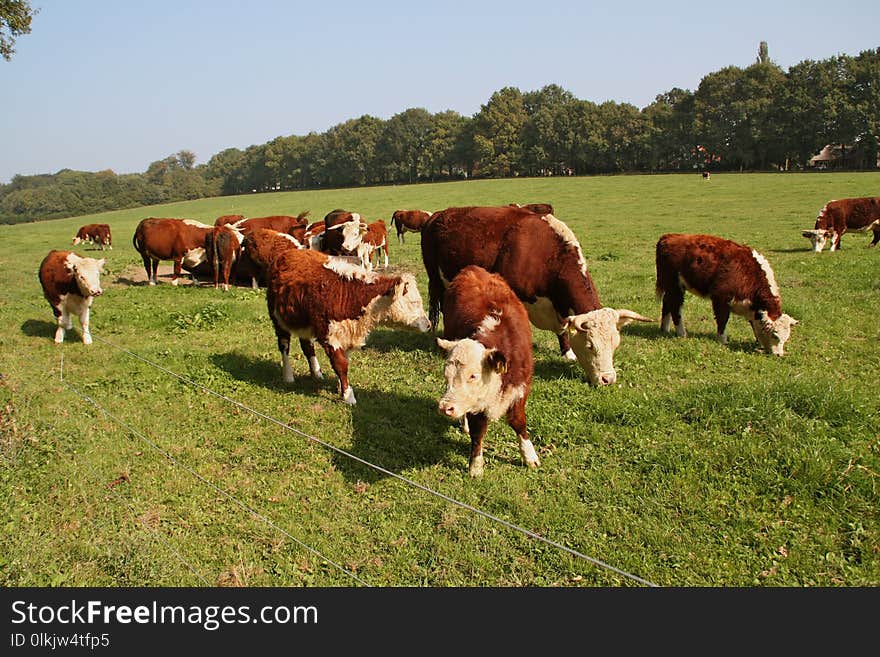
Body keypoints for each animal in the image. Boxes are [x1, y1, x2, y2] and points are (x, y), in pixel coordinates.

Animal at [268, 249, 434, 404]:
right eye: (413, 302)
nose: (429, 324)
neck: (351, 294)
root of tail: (289, 252)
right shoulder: (330, 335)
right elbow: (341, 364)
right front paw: (348, 396)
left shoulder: (346, 334)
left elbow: (344, 361)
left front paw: (340, 388)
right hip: (278, 320)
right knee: (284, 346)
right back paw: (288, 376)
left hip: (305, 325)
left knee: (307, 347)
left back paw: (317, 373)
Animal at [420, 205, 652, 384]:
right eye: (590, 345)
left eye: (615, 344)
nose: (608, 379)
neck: (546, 255)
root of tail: (437, 215)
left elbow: (562, 330)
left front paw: (567, 353)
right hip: (434, 278)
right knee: (437, 305)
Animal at [436, 266, 540, 476]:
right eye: (446, 375)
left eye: (473, 376)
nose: (445, 407)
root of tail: (472, 269)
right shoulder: (476, 406)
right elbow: (478, 433)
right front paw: (476, 466)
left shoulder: (520, 389)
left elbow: (519, 422)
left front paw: (530, 456)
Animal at [656, 233, 800, 356]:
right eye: (775, 335)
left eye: (786, 337)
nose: (779, 355)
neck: (749, 273)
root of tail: (668, 237)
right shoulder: (721, 298)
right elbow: (722, 319)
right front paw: (722, 340)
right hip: (674, 286)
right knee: (675, 307)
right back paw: (681, 333)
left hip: (671, 287)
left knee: (667, 302)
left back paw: (665, 328)